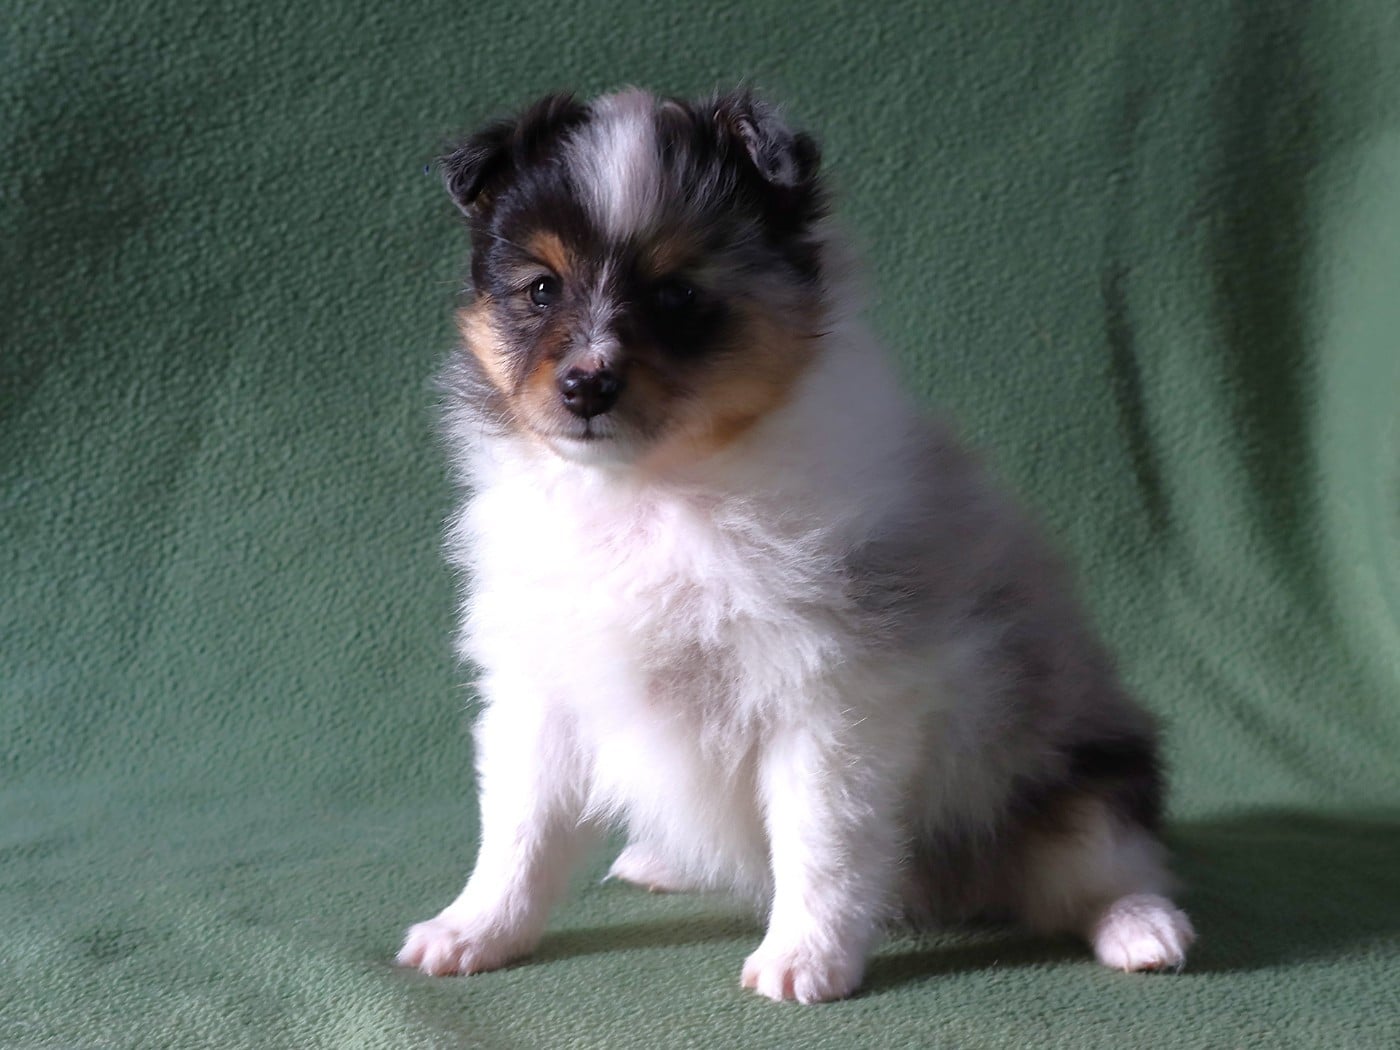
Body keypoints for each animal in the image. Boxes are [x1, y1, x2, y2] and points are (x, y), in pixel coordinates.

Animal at [396, 88, 1195, 1003]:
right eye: (539, 288)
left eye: (677, 294)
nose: (586, 385)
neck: (654, 489)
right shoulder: (543, 687)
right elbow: (519, 829)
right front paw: (473, 931)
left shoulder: (828, 694)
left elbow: (822, 838)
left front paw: (805, 960)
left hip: (1078, 781)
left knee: (1105, 865)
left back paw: (1143, 929)